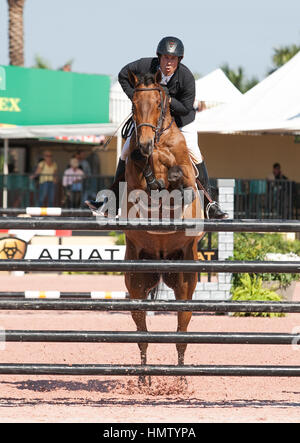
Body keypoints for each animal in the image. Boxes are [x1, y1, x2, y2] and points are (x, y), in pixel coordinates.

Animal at [121, 69, 204, 382]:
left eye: (159, 104)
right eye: (133, 105)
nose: (145, 144)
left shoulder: (186, 179)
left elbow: (180, 178)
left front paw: (167, 174)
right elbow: (144, 174)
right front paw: (148, 166)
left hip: (185, 278)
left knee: (182, 328)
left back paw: (180, 378)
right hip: (136, 279)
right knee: (142, 331)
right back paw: (144, 378)